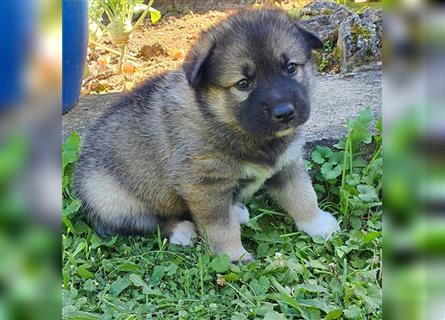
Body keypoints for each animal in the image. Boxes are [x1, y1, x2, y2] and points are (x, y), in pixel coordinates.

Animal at [73, 8, 336, 262]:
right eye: (243, 84)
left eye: (291, 68)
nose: (285, 113)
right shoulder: (204, 184)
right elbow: (221, 226)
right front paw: (233, 255)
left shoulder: (288, 163)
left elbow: (303, 195)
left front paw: (318, 224)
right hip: (111, 198)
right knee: (144, 221)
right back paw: (181, 230)